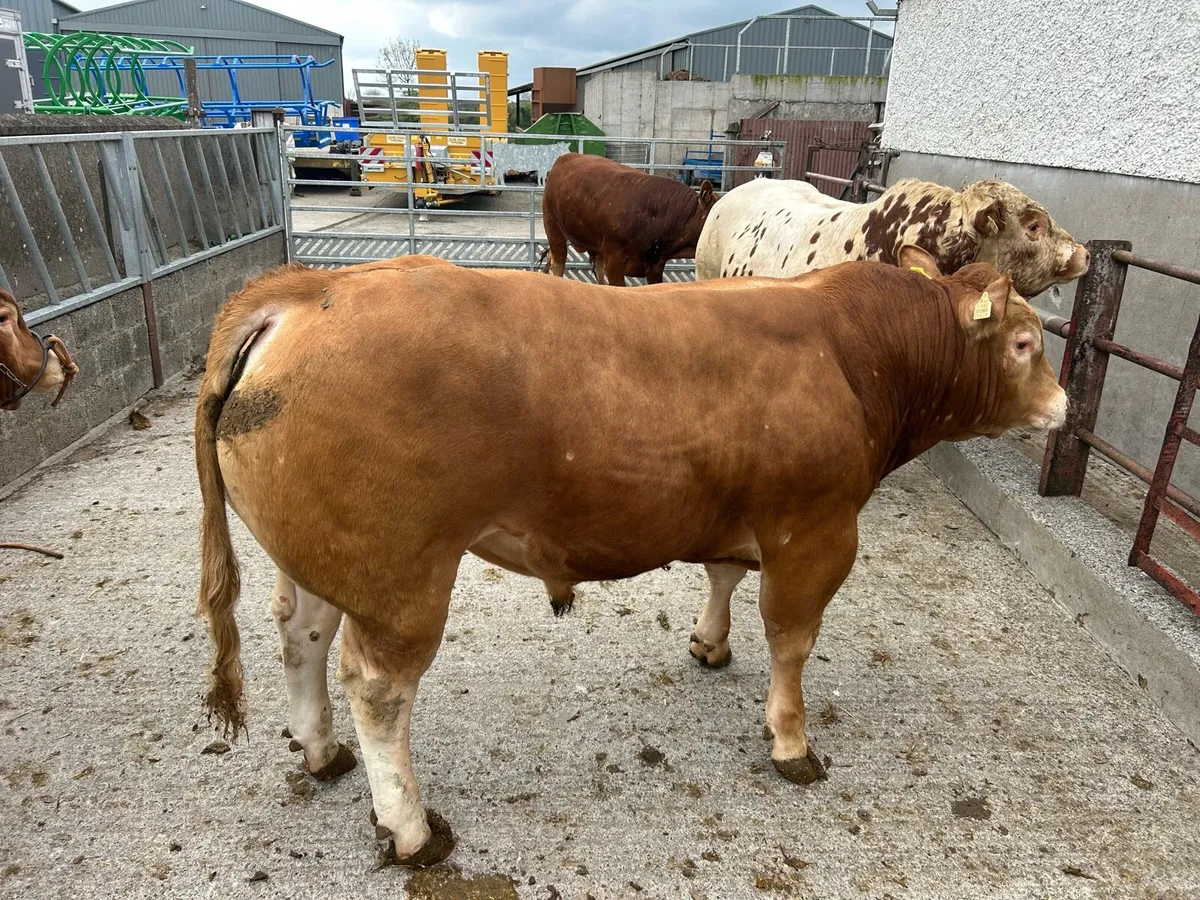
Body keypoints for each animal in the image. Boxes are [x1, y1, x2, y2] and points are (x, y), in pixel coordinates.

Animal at [195, 249, 1065, 866]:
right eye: (1025, 343)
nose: (1060, 407)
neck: (857, 349)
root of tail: (309, 287)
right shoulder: (816, 531)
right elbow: (792, 638)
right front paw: (791, 741)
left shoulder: (739, 511)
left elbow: (723, 572)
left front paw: (710, 643)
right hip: (399, 576)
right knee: (378, 688)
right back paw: (410, 829)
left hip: (325, 555)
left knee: (300, 634)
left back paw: (320, 751)